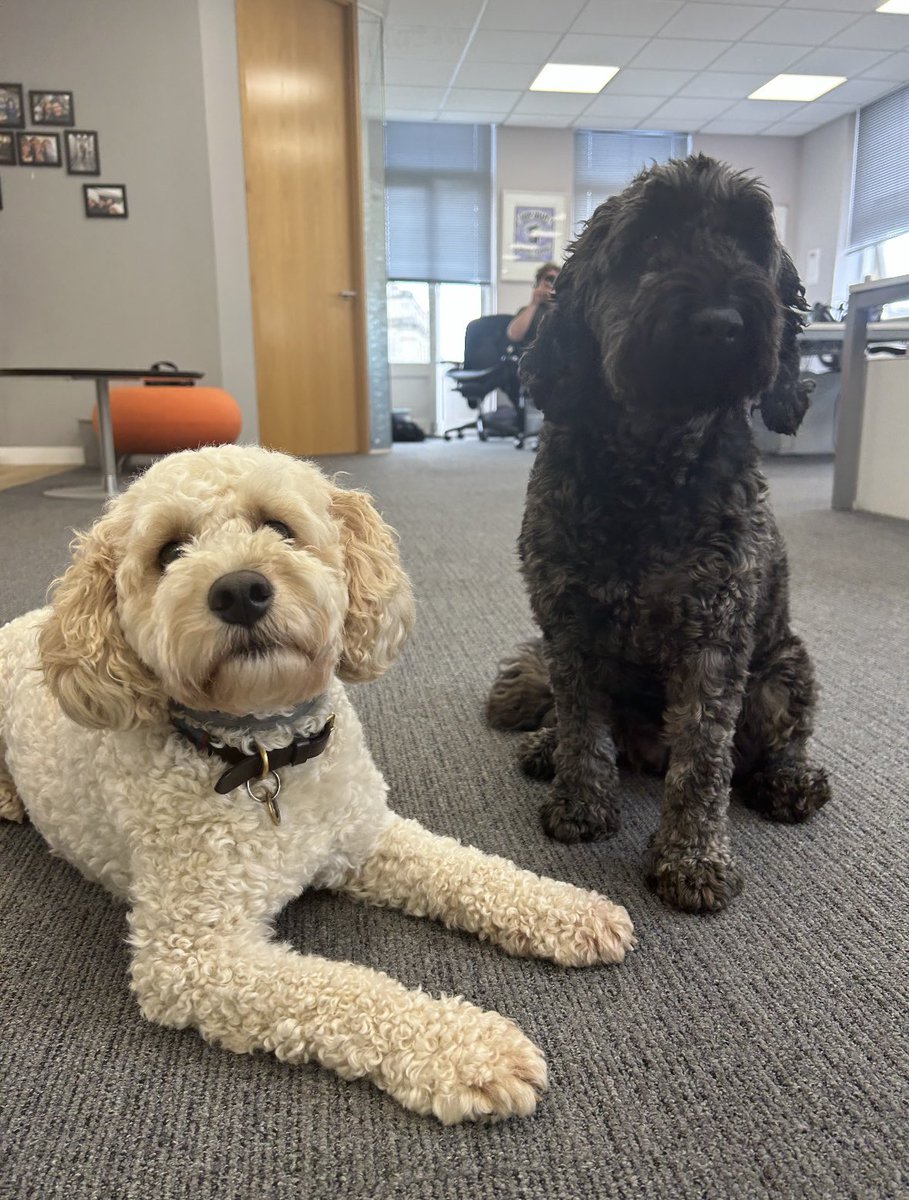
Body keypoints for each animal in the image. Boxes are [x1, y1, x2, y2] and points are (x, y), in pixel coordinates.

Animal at [0, 444, 637, 1123]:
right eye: (169, 551)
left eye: (279, 527)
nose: (240, 590)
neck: (266, 759)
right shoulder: (193, 957)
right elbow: (345, 990)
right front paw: (473, 1049)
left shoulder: (364, 835)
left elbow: (467, 868)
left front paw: (571, 910)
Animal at [491, 157, 834, 907]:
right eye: (646, 241)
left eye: (749, 243)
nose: (720, 322)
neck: (650, 457)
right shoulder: (568, 620)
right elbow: (582, 726)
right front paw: (581, 801)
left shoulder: (713, 632)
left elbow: (703, 760)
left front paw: (692, 856)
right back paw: (546, 746)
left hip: (784, 668)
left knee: (774, 742)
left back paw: (790, 780)